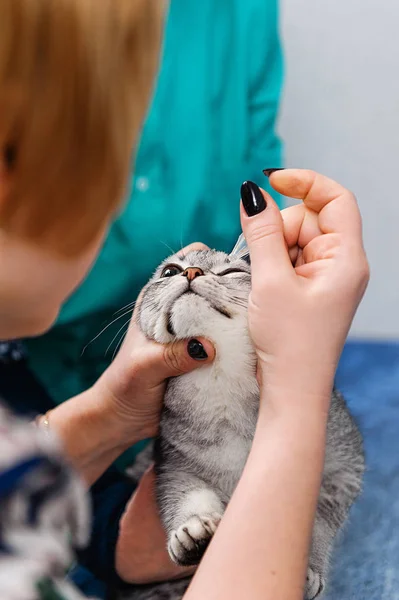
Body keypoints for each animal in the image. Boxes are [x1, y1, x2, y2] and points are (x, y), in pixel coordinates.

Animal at [124, 248, 366, 600]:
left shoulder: (343, 470)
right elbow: (185, 495)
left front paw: (309, 568)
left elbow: (320, 523)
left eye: (232, 272)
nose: (191, 272)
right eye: (170, 270)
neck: (221, 383)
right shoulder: (171, 462)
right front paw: (192, 529)